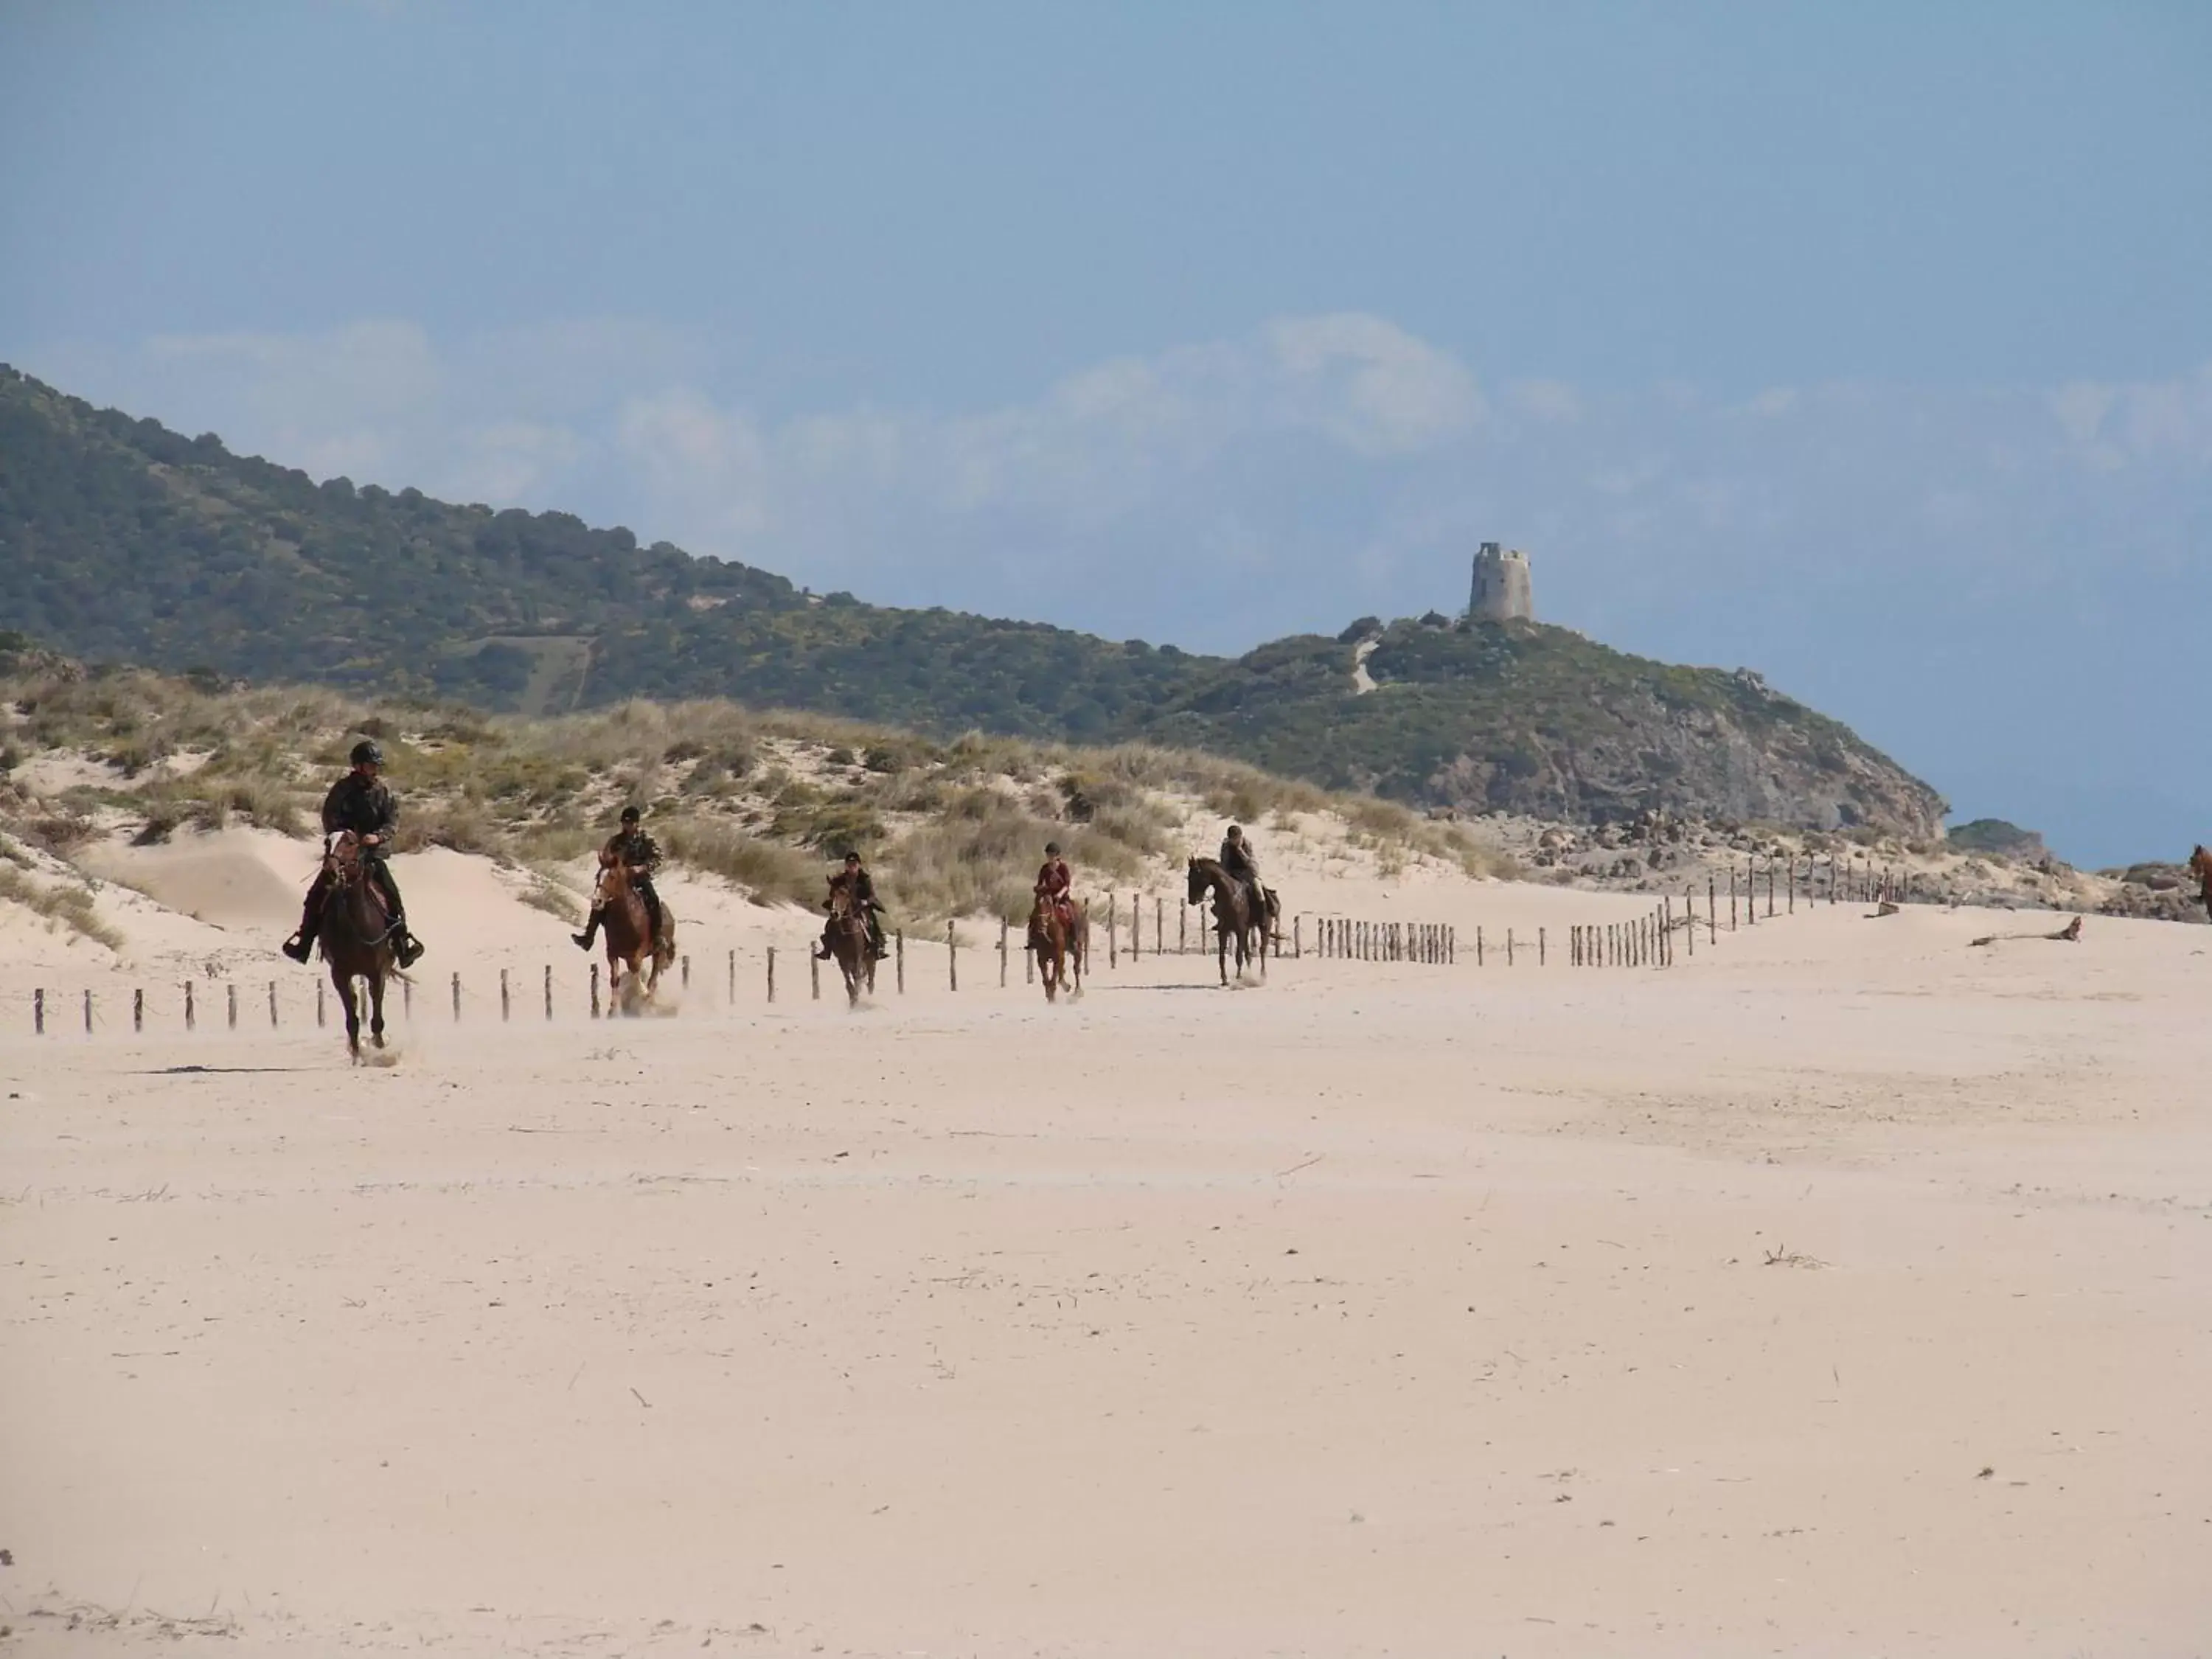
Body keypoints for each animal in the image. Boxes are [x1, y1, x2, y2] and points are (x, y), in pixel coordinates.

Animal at [316, 832, 403, 1066]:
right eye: (327, 842)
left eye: (351, 842)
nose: (330, 868)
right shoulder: (339, 974)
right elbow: (352, 1019)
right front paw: (356, 1054)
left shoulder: (376, 971)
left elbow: (376, 1012)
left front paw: (378, 1046)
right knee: (356, 1000)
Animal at [597, 858, 672, 1013]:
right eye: (598, 876)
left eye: (612, 877)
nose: (597, 901)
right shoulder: (612, 954)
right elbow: (615, 979)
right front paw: (613, 1008)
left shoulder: (638, 953)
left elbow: (635, 969)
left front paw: (643, 993)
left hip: (658, 953)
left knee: (654, 977)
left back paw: (648, 998)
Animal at [827, 885, 876, 1013]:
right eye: (832, 894)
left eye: (845, 895)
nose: (835, 914)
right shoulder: (842, 960)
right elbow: (849, 982)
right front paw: (853, 999)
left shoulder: (857, 957)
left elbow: (857, 978)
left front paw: (856, 996)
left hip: (870, 958)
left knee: (870, 977)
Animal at [1022, 889, 1084, 1009]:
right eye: (1037, 903)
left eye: (1049, 904)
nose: (1042, 924)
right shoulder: (1041, 959)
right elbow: (1046, 979)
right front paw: (1050, 997)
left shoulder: (1057, 956)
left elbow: (1053, 978)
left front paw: (1053, 996)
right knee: (1063, 970)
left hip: (1077, 950)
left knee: (1076, 969)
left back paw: (1077, 992)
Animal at [1186, 858, 1274, 987]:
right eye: (1189, 877)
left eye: (1195, 876)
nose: (1191, 900)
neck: (1232, 897)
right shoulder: (1223, 931)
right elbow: (1222, 956)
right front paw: (1224, 979)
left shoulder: (1240, 930)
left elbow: (1238, 957)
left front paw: (1238, 977)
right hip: (1246, 931)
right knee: (1248, 954)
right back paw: (1250, 974)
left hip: (1264, 928)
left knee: (1262, 950)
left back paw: (1262, 976)